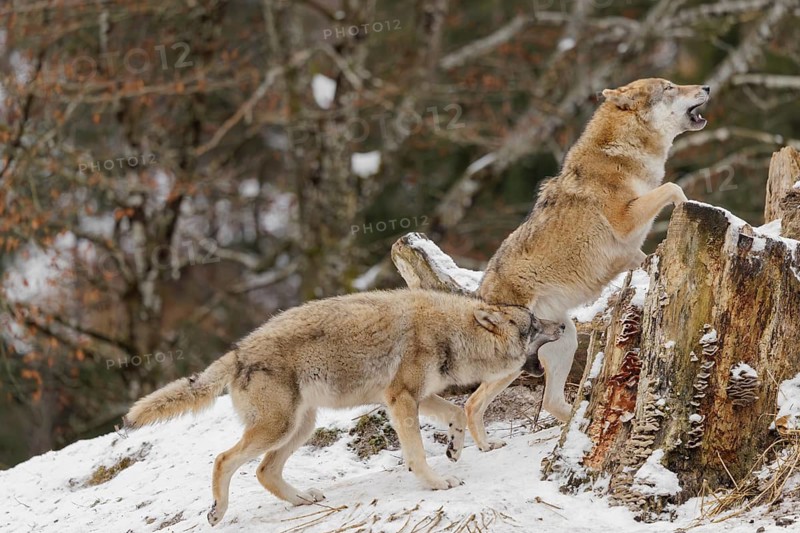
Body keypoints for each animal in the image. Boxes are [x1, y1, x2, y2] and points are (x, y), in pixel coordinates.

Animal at [124, 289, 563, 526]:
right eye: (533, 323)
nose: (561, 324)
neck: (451, 333)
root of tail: (237, 352)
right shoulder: (401, 399)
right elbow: (418, 453)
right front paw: (437, 482)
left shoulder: (418, 397)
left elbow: (456, 413)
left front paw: (455, 449)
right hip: (279, 428)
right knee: (223, 459)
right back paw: (217, 511)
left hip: (301, 427)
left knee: (265, 472)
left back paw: (303, 499)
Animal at [462, 78, 710, 452]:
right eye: (669, 87)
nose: (707, 87)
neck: (622, 153)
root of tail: (480, 296)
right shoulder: (626, 220)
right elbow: (674, 188)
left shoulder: (631, 253)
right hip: (516, 362)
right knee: (471, 403)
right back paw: (489, 446)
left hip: (565, 340)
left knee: (551, 402)